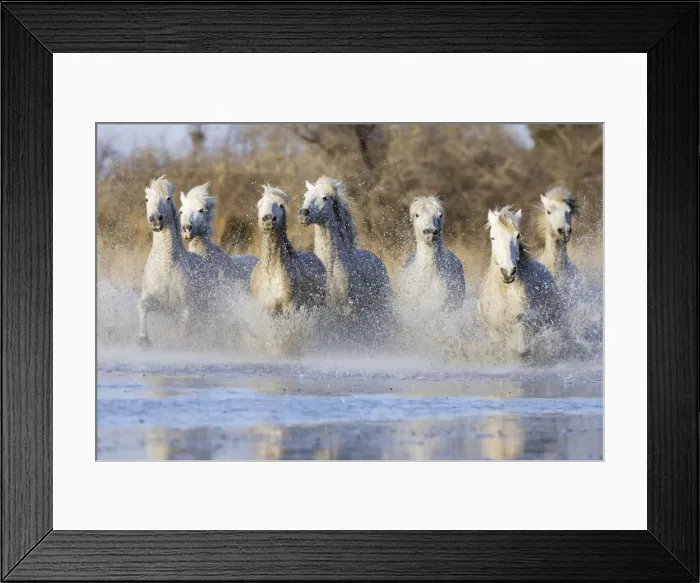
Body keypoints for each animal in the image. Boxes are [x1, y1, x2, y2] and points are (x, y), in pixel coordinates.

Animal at [137, 175, 211, 347]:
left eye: (168, 198)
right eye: (146, 199)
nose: (155, 220)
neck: (166, 266)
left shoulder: (185, 306)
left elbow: (184, 328)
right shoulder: (158, 303)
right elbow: (142, 306)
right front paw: (144, 340)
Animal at [477, 206, 562, 357]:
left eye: (517, 236)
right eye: (492, 237)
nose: (508, 272)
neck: (504, 292)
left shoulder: (522, 323)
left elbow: (521, 349)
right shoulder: (494, 331)